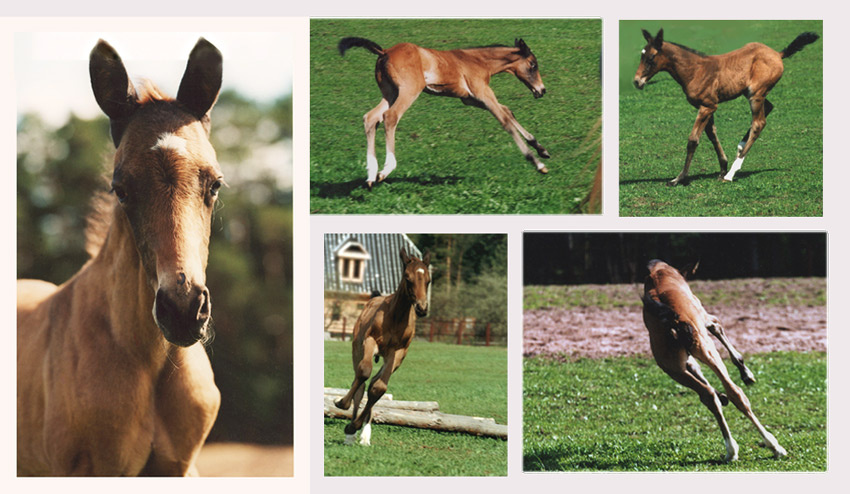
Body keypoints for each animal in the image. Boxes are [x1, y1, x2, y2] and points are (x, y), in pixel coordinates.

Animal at [333, 247, 431, 445]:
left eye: (429, 280)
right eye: (407, 277)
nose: (422, 308)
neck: (395, 317)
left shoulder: (398, 353)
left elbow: (379, 388)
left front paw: (355, 427)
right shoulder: (369, 341)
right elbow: (363, 372)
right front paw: (343, 407)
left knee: (372, 384)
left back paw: (363, 434)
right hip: (357, 348)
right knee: (360, 382)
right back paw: (350, 433)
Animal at [338, 37, 550, 189]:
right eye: (533, 65)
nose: (541, 90)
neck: (478, 61)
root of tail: (385, 52)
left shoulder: (471, 99)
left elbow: (508, 111)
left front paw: (541, 149)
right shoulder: (483, 93)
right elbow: (505, 121)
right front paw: (538, 163)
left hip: (390, 93)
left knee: (371, 118)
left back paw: (371, 175)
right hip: (409, 91)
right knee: (390, 117)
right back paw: (386, 169)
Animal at [633, 28, 819, 186]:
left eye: (651, 57)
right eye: (641, 55)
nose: (637, 81)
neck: (695, 70)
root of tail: (778, 54)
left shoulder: (707, 107)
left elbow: (693, 140)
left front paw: (679, 179)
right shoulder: (708, 107)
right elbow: (712, 135)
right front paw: (722, 167)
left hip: (756, 94)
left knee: (759, 123)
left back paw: (731, 173)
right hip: (751, 93)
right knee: (769, 108)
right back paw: (740, 147)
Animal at [641, 260, 787, 462]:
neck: (660, 273)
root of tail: (672, 322)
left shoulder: (683, 361)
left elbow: (698, 371)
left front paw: (722, 395)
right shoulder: (703, 316)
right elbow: (717, 325)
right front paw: (745, 372)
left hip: (671, 367)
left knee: (707, 395)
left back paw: (731, 448)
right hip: (706, 349)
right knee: (736, 393)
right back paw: (773, 446)